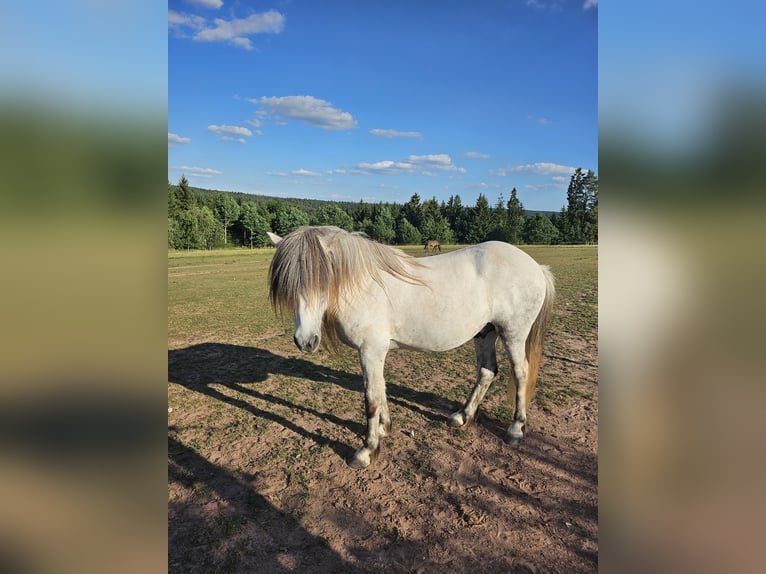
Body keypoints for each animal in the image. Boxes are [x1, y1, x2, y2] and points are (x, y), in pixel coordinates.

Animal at [267, 226, 555, 469]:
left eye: (323, 279)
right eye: (289, 285)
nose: (305, 341)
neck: (365, 285)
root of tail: (536, 267)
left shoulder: (370, 350)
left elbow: (371, 398)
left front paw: (367, 450)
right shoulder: (376, 352)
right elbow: (381, 388)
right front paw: (384, 428)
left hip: (513, 334)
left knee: (520, 374)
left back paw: (516, 429)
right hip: (485, 333)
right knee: (487, 372)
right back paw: (462, 416)